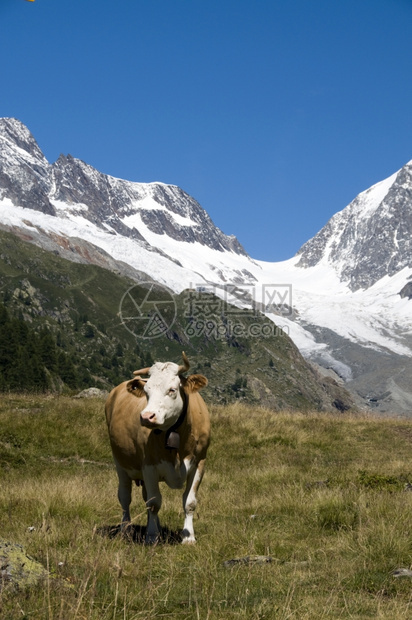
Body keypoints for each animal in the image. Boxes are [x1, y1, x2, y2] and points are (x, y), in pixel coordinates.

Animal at [104, 354, 211, 544]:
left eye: (172, 390)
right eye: (146, 391)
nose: (147, 416)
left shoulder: (199, 463)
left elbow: (189, 502)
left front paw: (188, 536)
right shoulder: (149, 466)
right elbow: (154, 504)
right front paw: (152, 536)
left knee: (145, 495)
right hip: (120, 464)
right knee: (125, 498)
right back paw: (126, 529)